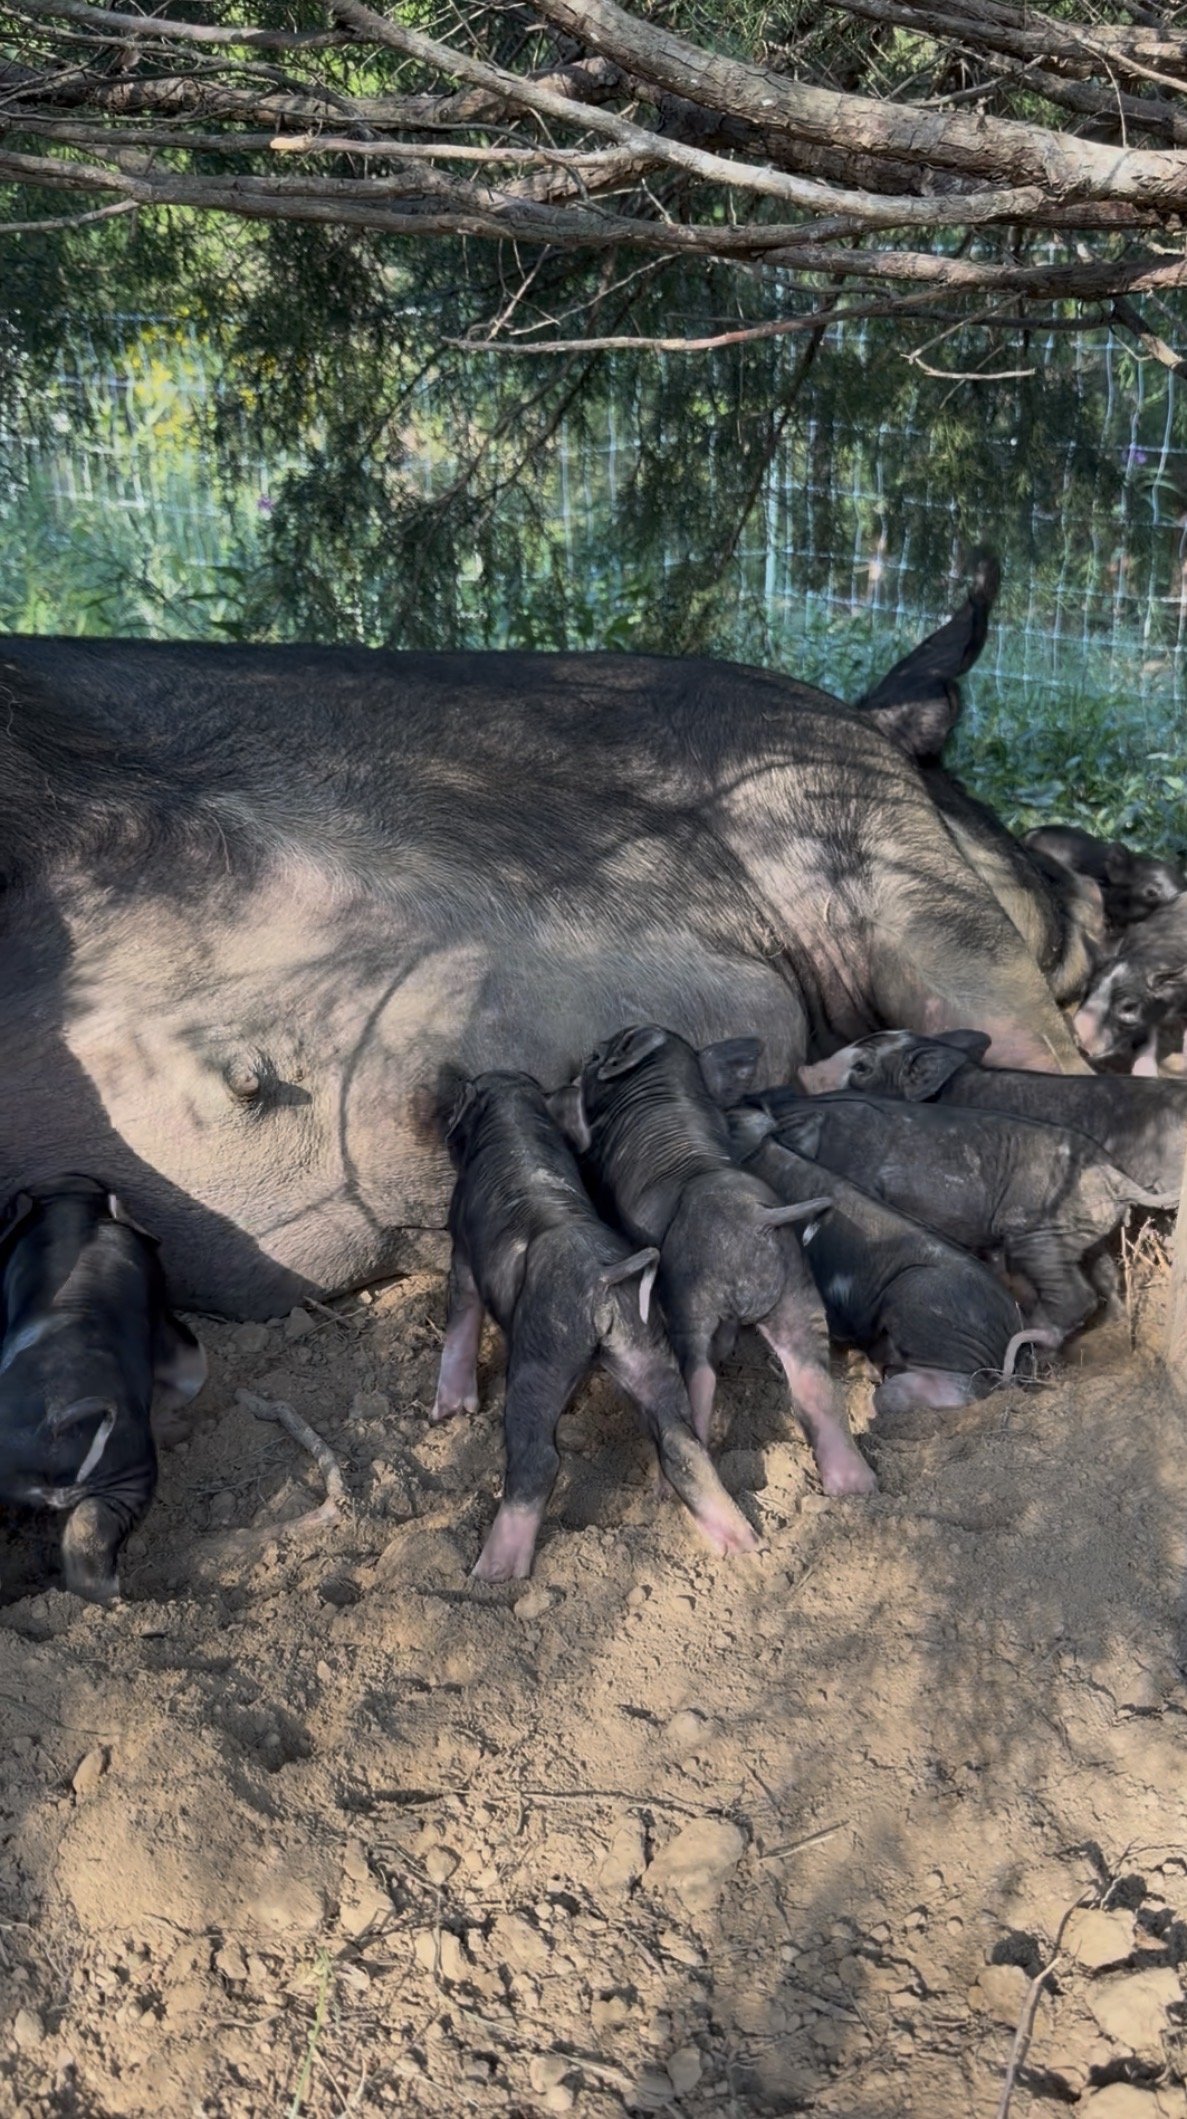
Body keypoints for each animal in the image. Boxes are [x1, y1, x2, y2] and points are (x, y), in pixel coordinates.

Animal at [431, 1069, 759, 1580]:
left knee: (538, 1459)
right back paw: (743, 1545)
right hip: (647, 1346)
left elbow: (461, 1318)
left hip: (541, 1355)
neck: (512, 1109)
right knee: (682, 1443)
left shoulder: (461, 1248)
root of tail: (603, 1279)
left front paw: (446, 1412)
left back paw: (490, 1573)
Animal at [556, 1025, 875, 1495]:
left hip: (693, 1303)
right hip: (798, 1293)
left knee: (700, 1386)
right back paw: (856, 1485)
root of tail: (758, 1219)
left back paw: (664, 1489)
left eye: (599, 1054)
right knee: (814, 1382)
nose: (583, 1060)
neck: (665, 1082)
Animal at [752, 1089, 1175, 1338]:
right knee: (1105, 1276)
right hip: (1086, 1233)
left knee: (1073, 1295)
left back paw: (1035, 1336)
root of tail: (1115, 1176)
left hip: (1039, 1234)